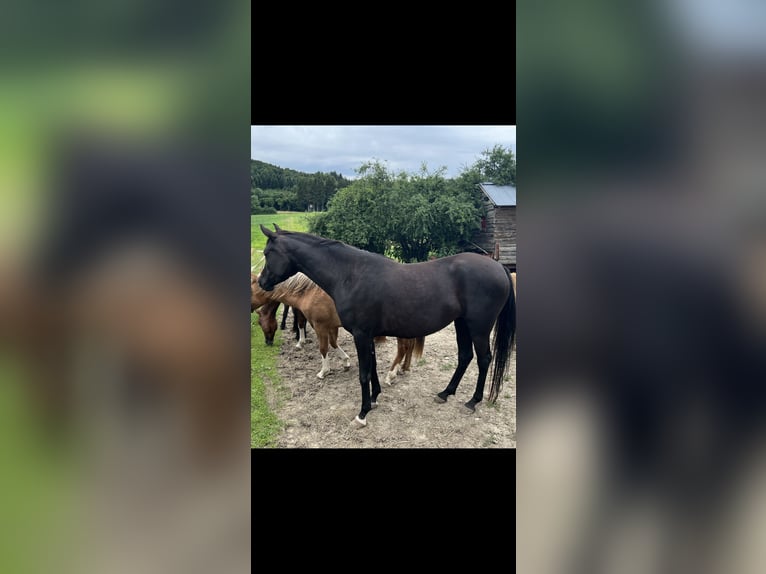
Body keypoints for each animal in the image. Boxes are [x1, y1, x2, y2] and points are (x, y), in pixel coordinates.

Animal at [258, 224, 516, 428]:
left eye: (268, 253)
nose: (261, 282)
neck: (349, 275)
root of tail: (499, 267)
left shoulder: (361, 335)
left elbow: (363, 373)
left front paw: (362, 414)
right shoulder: (368, 335)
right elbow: (371, 369)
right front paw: (374, 399)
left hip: (479, 327)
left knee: (484, 359)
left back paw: (472, 402)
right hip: (461, 323)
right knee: (465, 357)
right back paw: (445, 393)